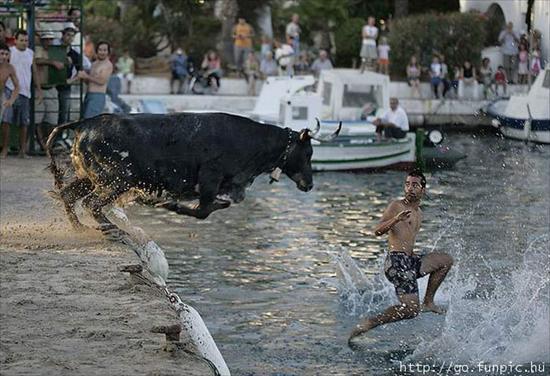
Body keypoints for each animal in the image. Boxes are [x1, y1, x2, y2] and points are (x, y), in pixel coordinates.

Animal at [45, 111, 338, 236]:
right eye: (308, 153)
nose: (309, 184)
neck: (249, 141)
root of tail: (85, 123)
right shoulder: (210, 178)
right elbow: (203, 210)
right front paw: (168, 204)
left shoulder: (227, 187)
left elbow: (220, 205)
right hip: (118, 179)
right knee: (92, 203)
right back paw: (111, 227)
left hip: (90, 177)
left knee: (69, 195)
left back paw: (80, 227)